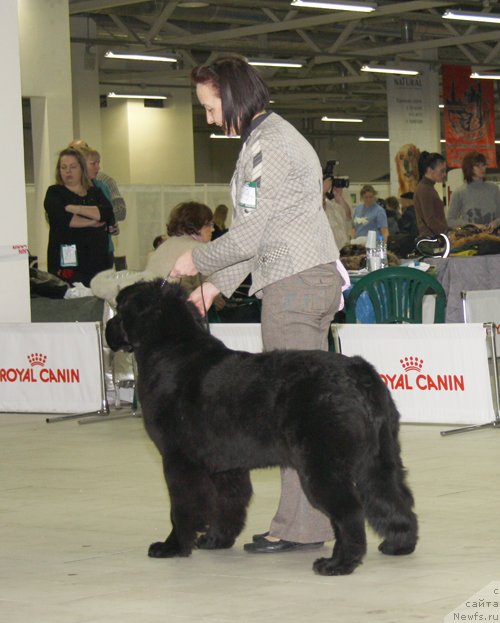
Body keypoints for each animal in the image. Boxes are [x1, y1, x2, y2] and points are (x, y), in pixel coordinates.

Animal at [106, 280, 418, 576]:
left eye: (119, 309)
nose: (108, 328)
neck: (170, 352)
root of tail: (358, 371)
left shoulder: (178, 460)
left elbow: (182, 508)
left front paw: (172, 546)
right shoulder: (225, 466)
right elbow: (229, 503)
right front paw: (216, 539)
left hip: (323, 465)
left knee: (350, 511)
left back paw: (338, 564)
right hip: (378, 459)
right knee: (392, 496)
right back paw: (398, 544)